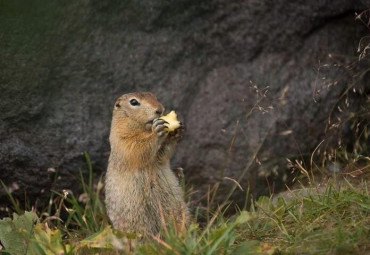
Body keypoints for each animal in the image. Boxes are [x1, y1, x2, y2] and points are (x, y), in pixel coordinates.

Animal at [105, 91, 189, 239]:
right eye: (133, 102)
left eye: (154, 96)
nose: (160, 109)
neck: (144, 129)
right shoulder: (122, 140)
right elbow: (138, 149)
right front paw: (157, 131)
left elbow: (161, 156)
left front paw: (175, 133)